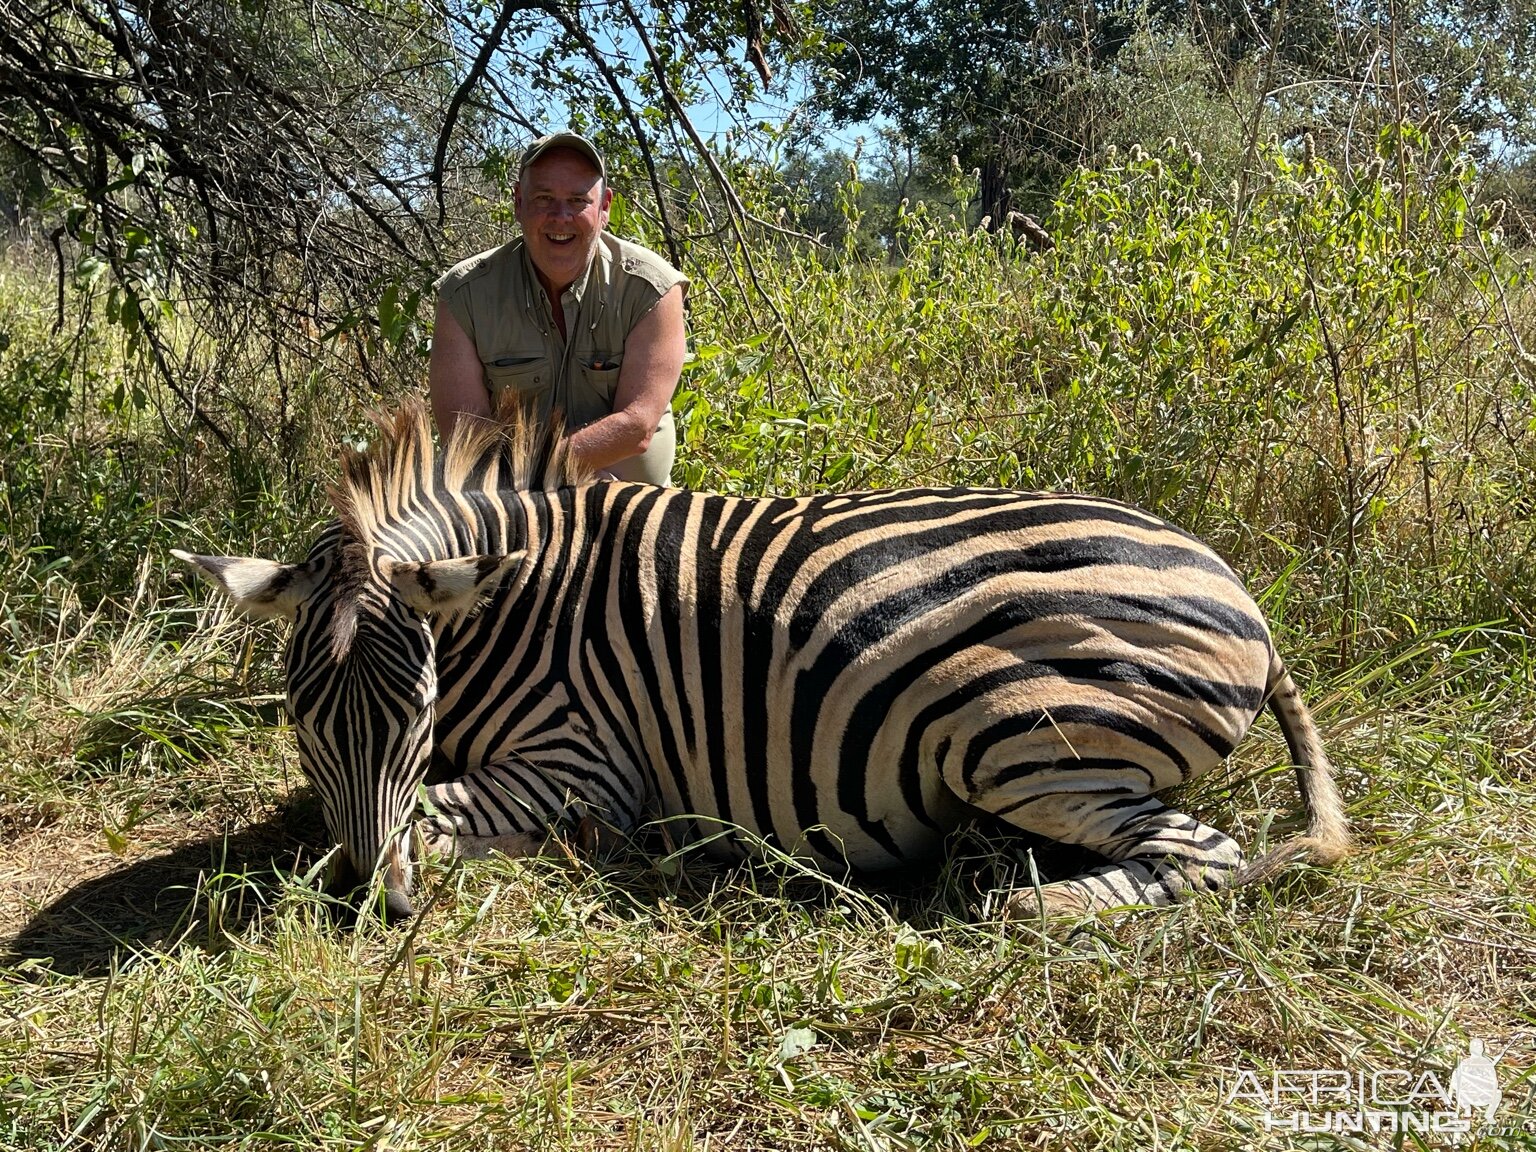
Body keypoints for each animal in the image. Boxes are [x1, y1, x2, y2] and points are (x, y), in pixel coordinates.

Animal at [176, 402, 1345, 927]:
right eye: (298, 717)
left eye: (418, 703)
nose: (375, 908)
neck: (512, 607)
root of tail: (1237, 585)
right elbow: (336, 817)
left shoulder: (586, 766)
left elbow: (423, 813)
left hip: (1018, 730)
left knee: (1203, 852)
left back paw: (1019, 902)